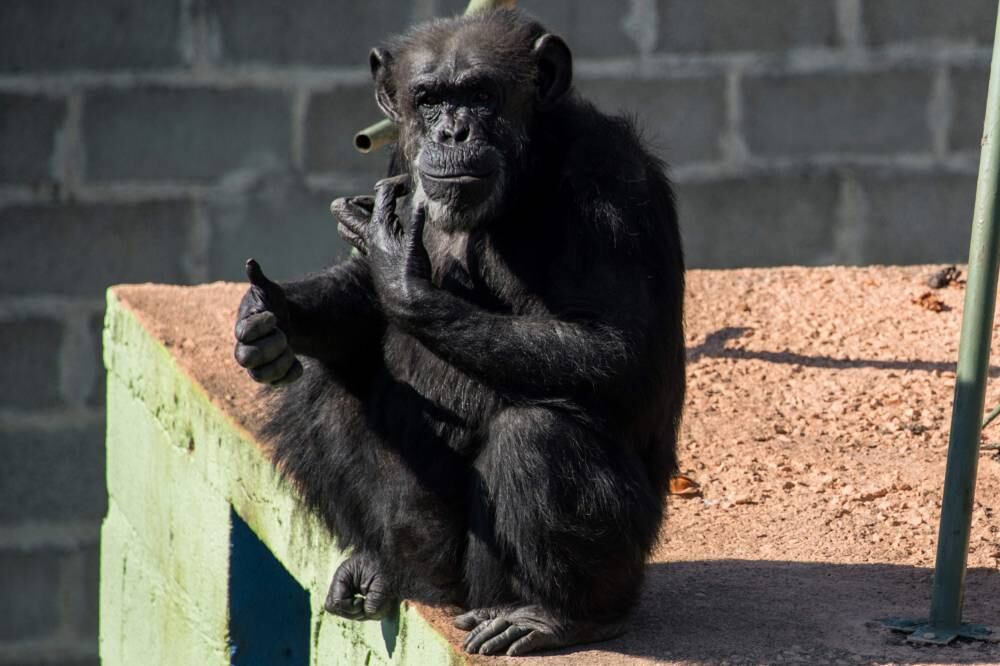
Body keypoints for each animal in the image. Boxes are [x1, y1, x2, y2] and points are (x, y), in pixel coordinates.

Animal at [234, 9, 688, 652]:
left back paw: (554, 615)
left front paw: (400, 271)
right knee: (320, 394)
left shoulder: (611, 185)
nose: (452, 133)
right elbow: (357, 297)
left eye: (479, 95)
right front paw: (270, 315)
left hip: (572, 569)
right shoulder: (397, 162)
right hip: (428, 551)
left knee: (536, 435)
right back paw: (375, 563)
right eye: (429, 99)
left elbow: (617, 350)